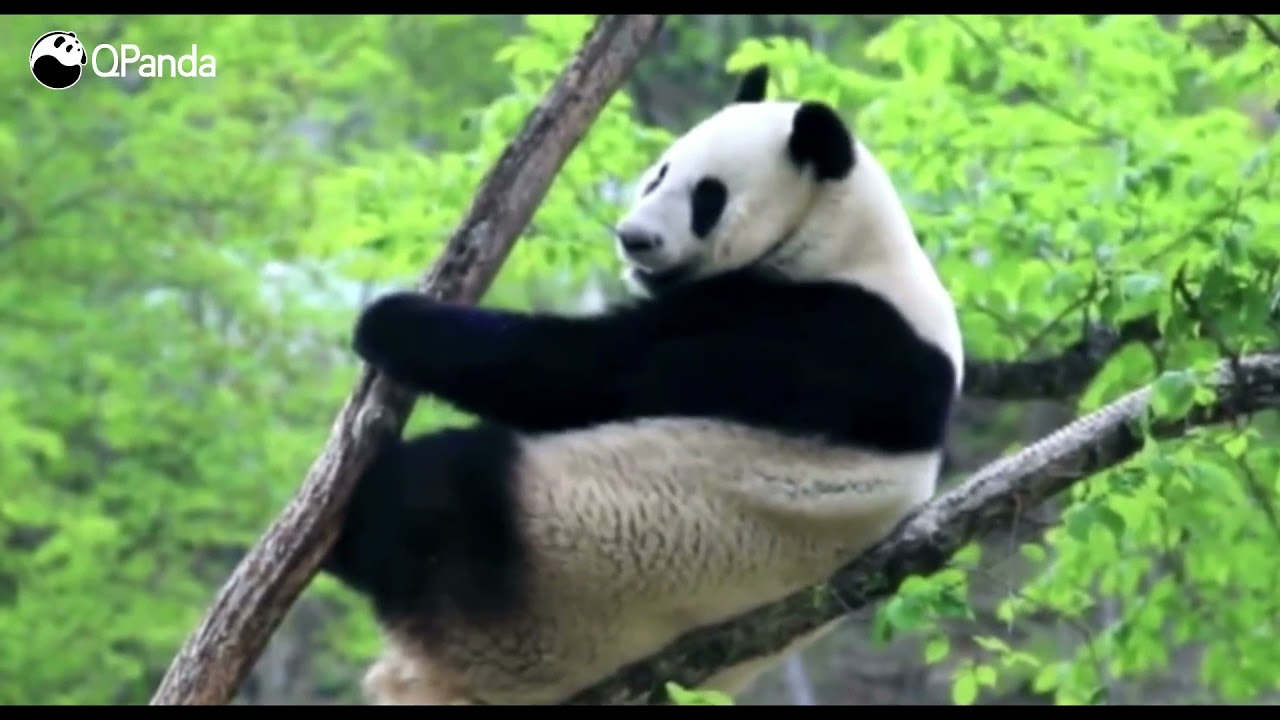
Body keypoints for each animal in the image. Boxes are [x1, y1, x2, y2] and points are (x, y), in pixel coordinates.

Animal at [322, 64, 964, 705]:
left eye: (708, 196)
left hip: (556, 570)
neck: (844, 236)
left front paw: (389, 320)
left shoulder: (824, 332)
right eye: (659, 173)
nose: (635, 238)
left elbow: (589, 369)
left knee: (434, 491)